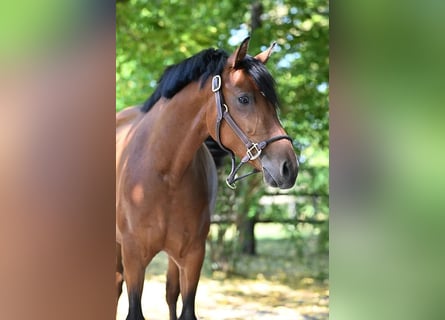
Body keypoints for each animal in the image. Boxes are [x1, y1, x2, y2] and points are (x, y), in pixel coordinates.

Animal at [115, 38, 298, 320]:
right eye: (244, 99)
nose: (289, 166)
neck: (165, 172)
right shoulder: (133, 257)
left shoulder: (192, 257)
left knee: (170, 294)